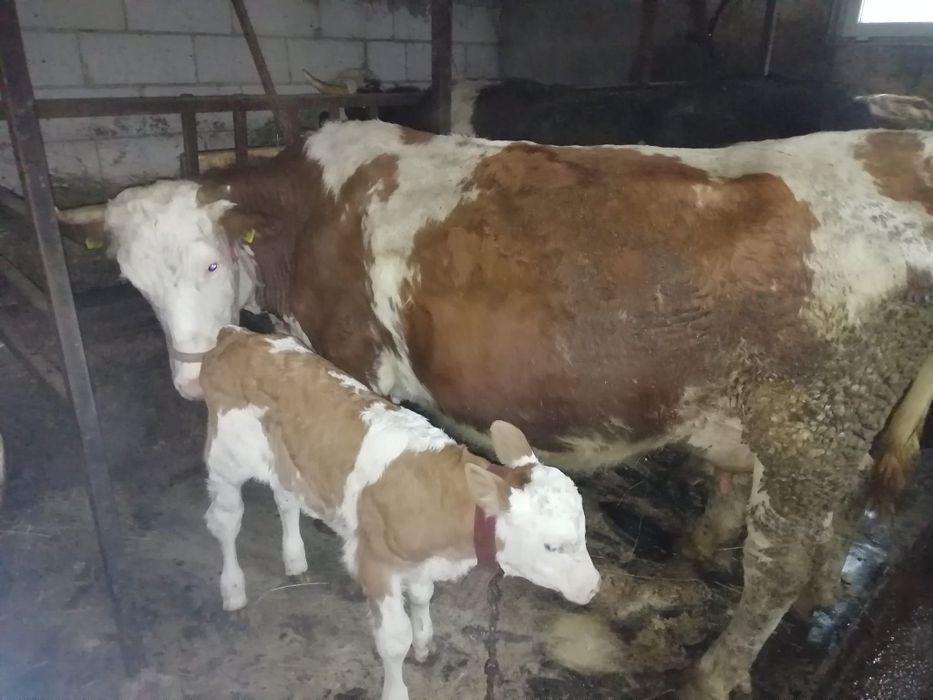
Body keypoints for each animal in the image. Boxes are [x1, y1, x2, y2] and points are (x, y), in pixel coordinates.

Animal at [199, 325, 600, 700]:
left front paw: (425, 643)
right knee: (226, 522)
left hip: (286, 462)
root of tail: (237, 336)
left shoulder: (417, 561)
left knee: (285, 500)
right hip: (226, 459)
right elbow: (393, 642)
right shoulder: (376, 564)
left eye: (582, 532)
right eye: (551, 546)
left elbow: (422, 597)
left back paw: (294, 559)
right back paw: (233, 591)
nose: (594, 587)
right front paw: (396, 688)